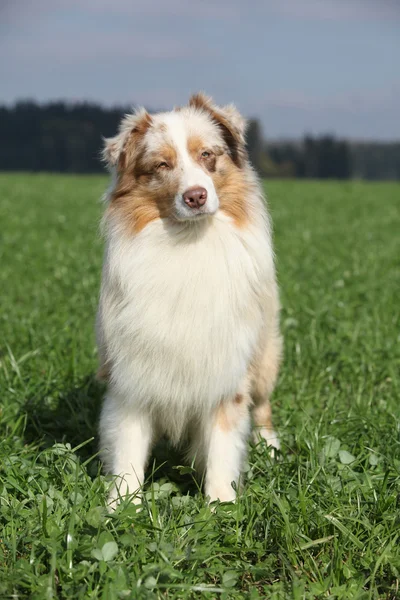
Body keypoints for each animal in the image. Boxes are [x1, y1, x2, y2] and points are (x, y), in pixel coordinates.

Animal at [95, 92, 282, 506]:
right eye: (161, 165)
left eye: (207, 155)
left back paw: (270, 448)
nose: (196, 196)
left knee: (262, 408)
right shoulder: (131, 374)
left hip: (263, 357)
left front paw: (220, 506)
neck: (187, 243)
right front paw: (122, 506)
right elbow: (128, 449)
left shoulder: (227, 373)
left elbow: (222, 447)